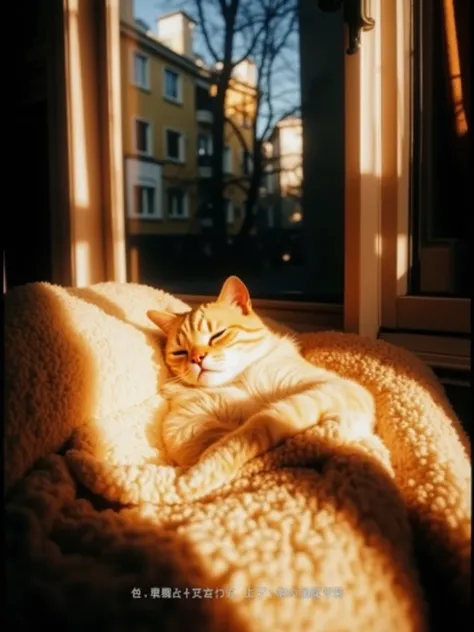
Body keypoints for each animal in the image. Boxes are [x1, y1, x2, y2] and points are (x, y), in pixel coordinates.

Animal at [146, 274, 376, 476]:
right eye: (180, 352)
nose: (196, 358)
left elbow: (260, 424)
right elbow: (217, 442)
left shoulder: (334, 387)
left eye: (217, 335)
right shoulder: (184, 426)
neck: (239, 380)